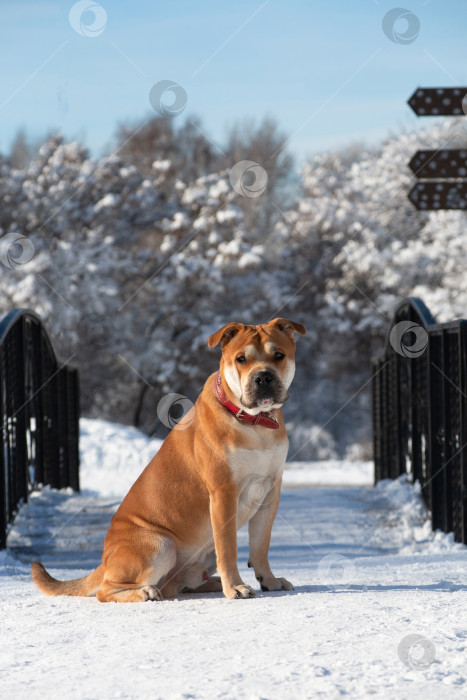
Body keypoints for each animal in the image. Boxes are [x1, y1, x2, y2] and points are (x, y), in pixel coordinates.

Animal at [31, 318, 306, 600]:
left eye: (279, 355)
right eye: (241, 358)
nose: (263, 376)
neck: (255, 424)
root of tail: (105, 559)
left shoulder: (269, 491)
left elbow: (261, 545)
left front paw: (269, 580)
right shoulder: (223, 492)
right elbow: (228, 548)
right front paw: (235, 587)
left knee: (178, 583)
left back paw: (208, 583)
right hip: (160, 545)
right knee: (106, 590)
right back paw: (146, 592)